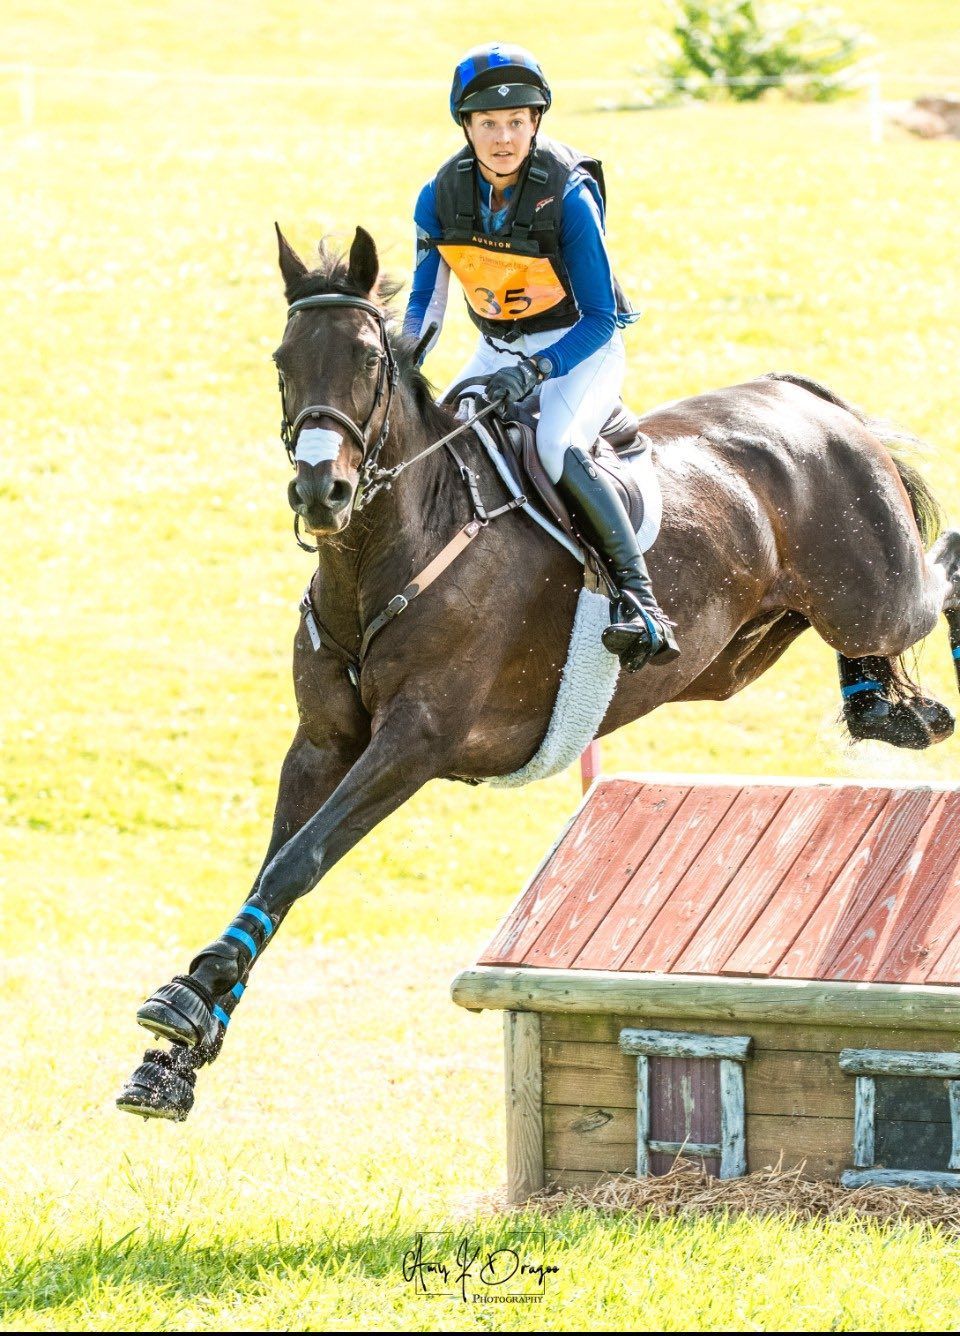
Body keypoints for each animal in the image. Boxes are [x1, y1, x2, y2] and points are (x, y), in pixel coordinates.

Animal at [117, 225, 960, 1121]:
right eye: (283, 359)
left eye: (368, 361)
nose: (322, 491)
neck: (393, 548)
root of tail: (811, 402)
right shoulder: (321, 744)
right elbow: (275, 867)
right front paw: (178, 1044)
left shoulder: (414, 743)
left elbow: (301, 859)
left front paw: (193, 995)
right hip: (755, 642)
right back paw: (879, 707)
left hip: (875, 598)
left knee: (940, 572)